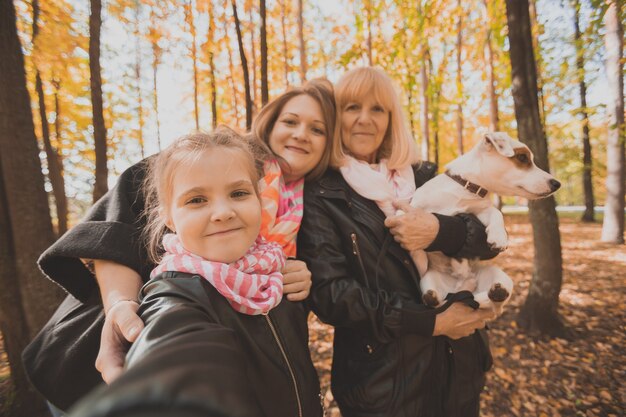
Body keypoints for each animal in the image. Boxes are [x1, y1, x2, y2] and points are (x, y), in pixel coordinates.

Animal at [408, 132, 560, 312]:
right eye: (522, 157)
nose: (557, 184)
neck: (465, 189)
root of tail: (460, 289)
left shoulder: (481, 210)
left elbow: (496, 213)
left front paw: (499, 237)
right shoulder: (414, 207)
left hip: (498, 275)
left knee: (494, 301)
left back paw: (497, 291)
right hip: (428, 279)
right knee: (432, 299)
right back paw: (433, 296)